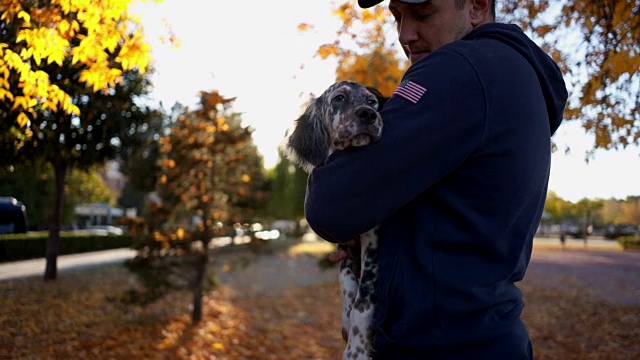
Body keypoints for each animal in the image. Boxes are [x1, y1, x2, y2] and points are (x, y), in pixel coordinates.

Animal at [286, 81, 388, 360]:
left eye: (372, 102)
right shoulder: (345, 245)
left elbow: (363, 302)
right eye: (339, 98)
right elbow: (346, 282)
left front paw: (357, 349)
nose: (368, 115)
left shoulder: (373, 242)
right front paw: (345, 317)